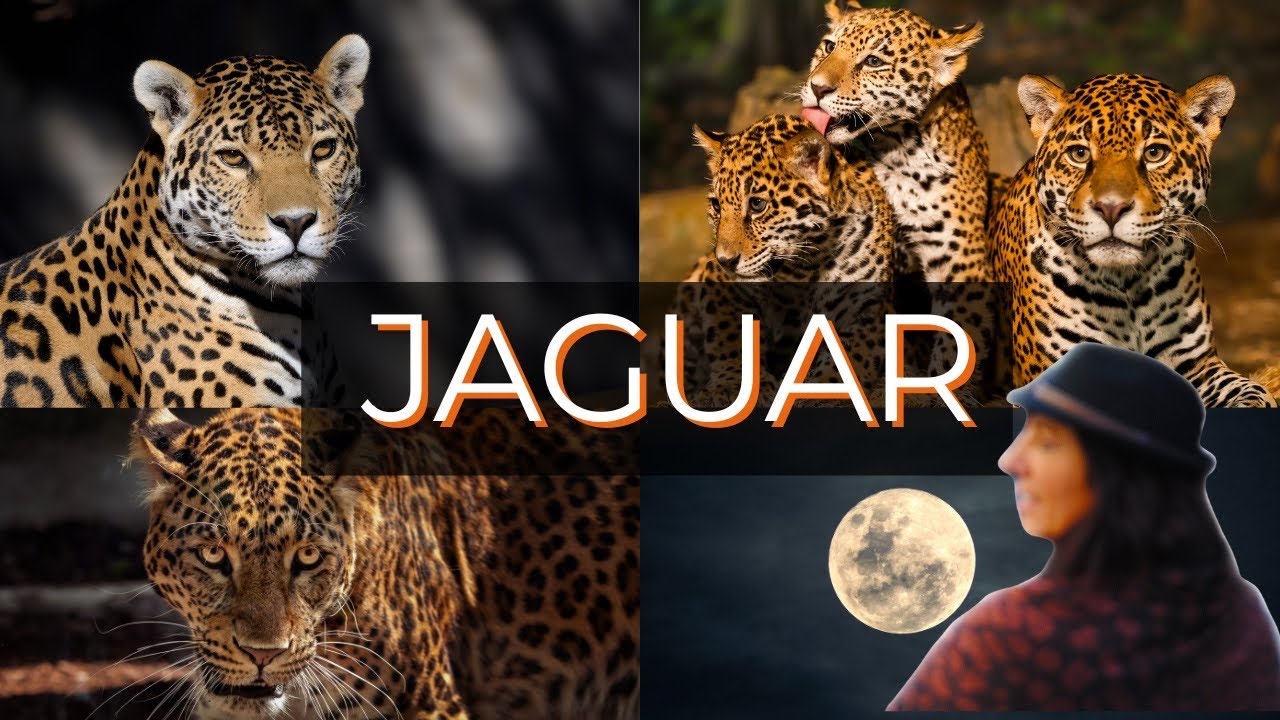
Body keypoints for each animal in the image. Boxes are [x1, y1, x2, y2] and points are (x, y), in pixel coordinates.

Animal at [661, 114, 896, 411]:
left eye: (757, 205)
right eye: (716, 206)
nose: (725, 260)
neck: (808, 264)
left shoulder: (865, 309)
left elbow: (845, 356)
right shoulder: (721, 287)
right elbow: (732, 338)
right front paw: (733, 386)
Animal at [799, 0, 998, 402]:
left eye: (874, 61)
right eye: (829, 46)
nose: (816, 87)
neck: (892, 150)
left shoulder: (960, 257)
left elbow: (957, 342)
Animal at [989, 73, 1275, 408]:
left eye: (1154, 153)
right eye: (1079, 154)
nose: (1111, 208)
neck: (1127, 285)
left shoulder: (1198, 365)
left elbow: (1253, 392)